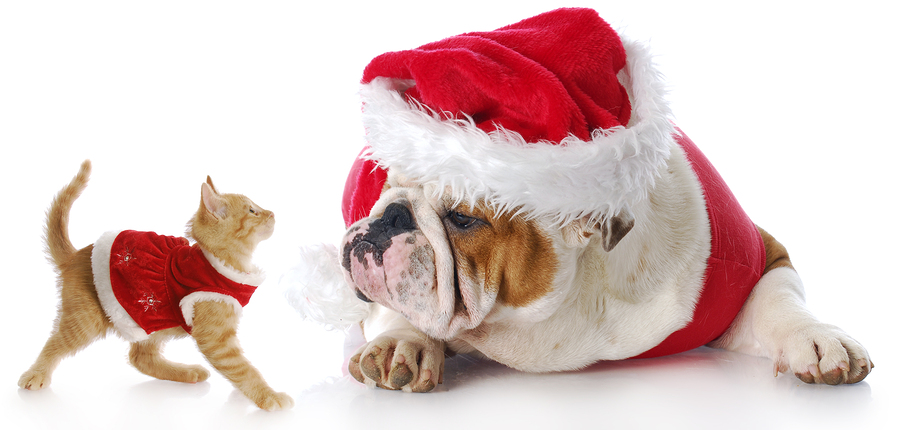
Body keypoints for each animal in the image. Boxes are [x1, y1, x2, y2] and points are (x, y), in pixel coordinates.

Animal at [17, 160, 294, 412]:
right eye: (252, 211)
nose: (272, 213)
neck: (219, 261)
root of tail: (76, 256)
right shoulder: (216, 338)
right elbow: (243, 368)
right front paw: (268, 396)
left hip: (150, 320)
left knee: (140, 357)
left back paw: (186, 372)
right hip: (86, 318)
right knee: (56, 341)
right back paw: (36, 373)